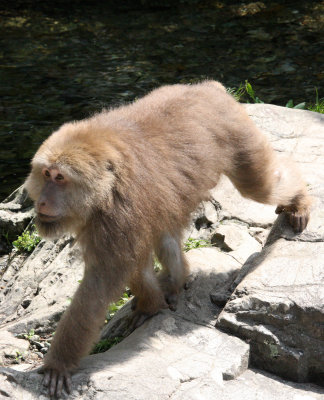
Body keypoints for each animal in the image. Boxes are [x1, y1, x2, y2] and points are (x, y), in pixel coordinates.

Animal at [24, 79, 312, 396]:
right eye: (46, 173)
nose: (42, 202)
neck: (105, 186)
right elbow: (133, 263)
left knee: (258, 186)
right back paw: (176, 279)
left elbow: (102, 280)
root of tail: (207, 88)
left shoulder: (119, 212)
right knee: (165, 233)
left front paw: (59, 364)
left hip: (239, 136)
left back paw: (297, 201)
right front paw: (151, 303)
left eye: (60, 178)